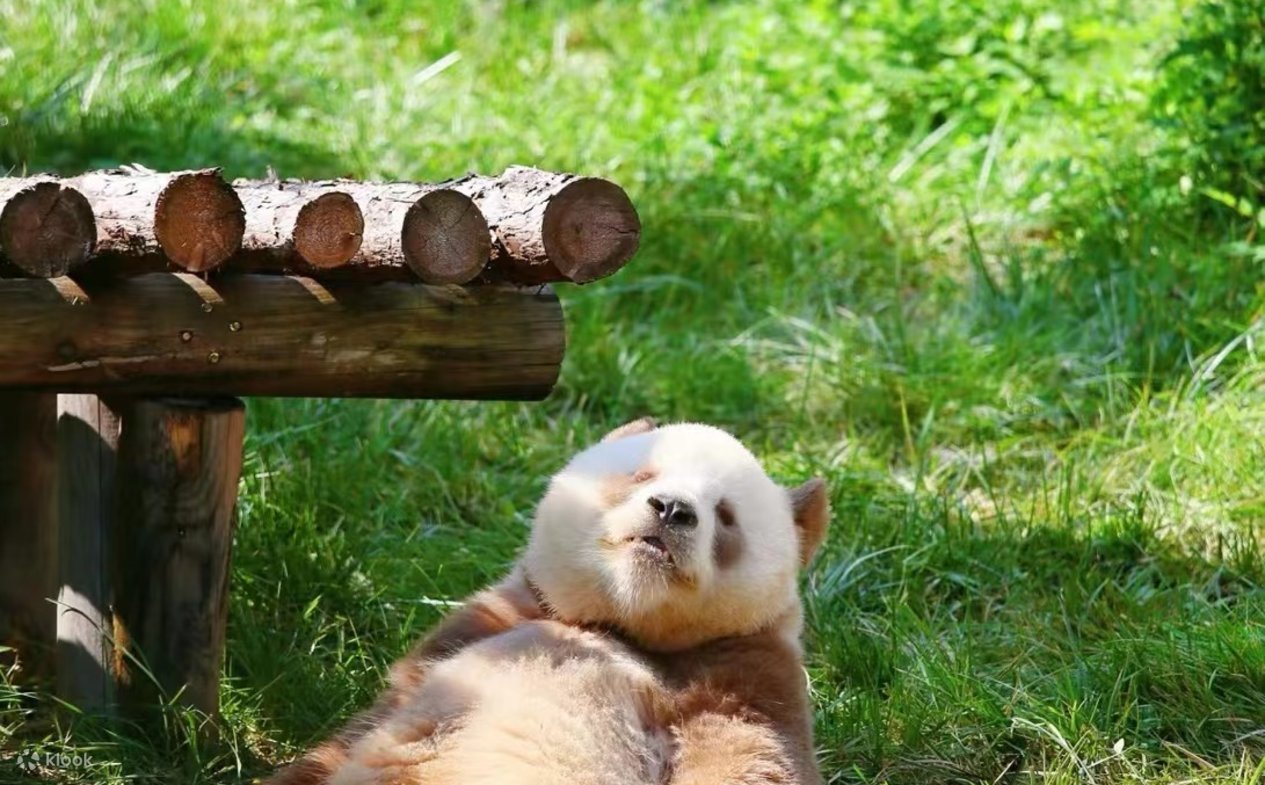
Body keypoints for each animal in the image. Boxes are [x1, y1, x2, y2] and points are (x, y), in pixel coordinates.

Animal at [265, 419, 829, 785]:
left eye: (727, 515)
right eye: (643, 475)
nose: (671, 509)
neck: (619, 626)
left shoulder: (745, 676)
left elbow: (754, 760)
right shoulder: (485, 626)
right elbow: (356, 731)